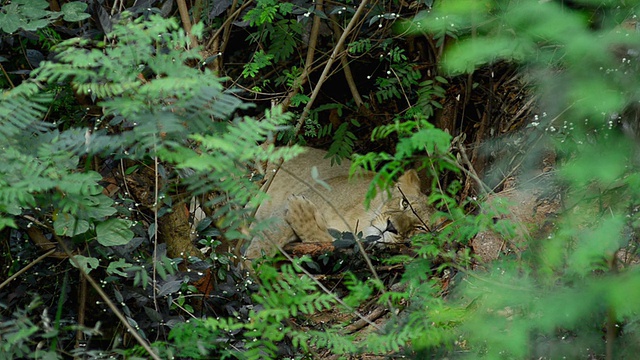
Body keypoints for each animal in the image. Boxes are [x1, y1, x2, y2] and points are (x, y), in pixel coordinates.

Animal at [242, 146, 432, 262]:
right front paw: (251, 268)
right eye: (404, 203)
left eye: (420, 228)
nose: (391, 227)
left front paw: (300, 210)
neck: (360, 222)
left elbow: (324, 242)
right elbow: (268, 237)